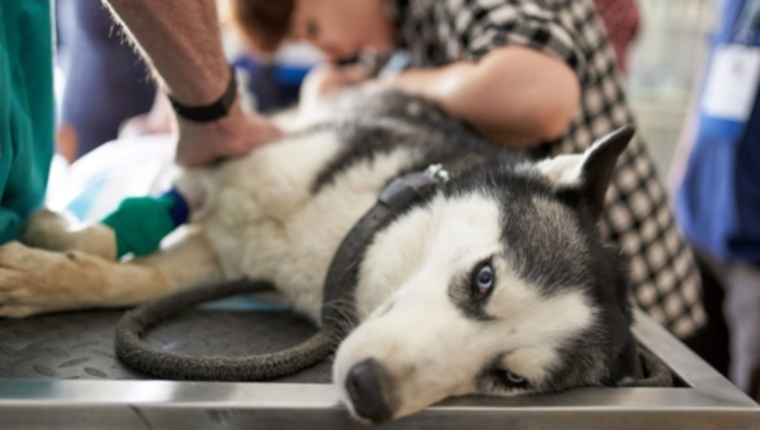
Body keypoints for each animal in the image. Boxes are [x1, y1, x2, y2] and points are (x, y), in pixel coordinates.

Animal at [0, 91, 640, 424]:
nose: (369, 392)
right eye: (485, 278)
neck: (347, 234)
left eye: (510, 378)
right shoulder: (223, 169)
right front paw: (53, 246)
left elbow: (135, 279)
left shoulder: (225, 256)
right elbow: (127, 244)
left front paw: (43, 273)